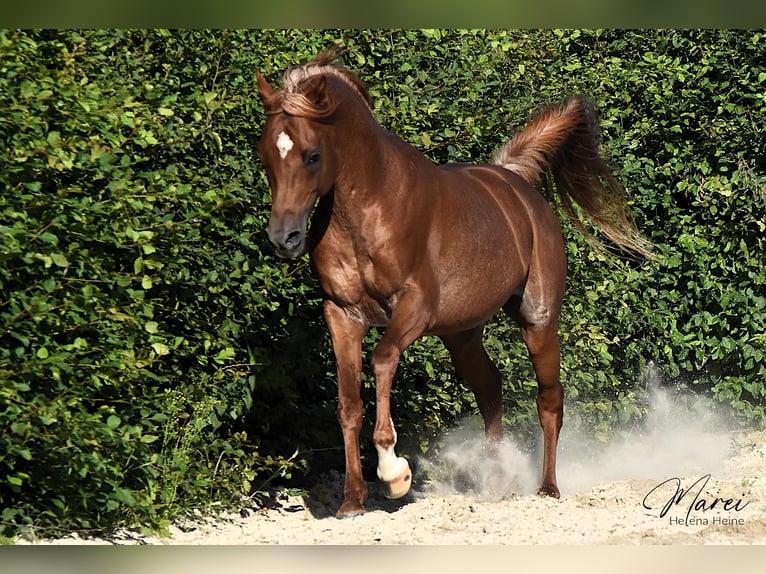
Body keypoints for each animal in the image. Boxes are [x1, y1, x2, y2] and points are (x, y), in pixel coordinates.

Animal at [256, 49, 653, 518]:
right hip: (461, 335)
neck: (368, 209)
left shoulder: (413, 308)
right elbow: (348, 404)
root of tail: (515, 183)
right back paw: (496, 481)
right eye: (266, 155)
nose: (284, 238)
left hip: (537, 320)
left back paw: (547, 488)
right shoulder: (342, 314)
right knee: (490, 388)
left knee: (549, 400)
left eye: (312, 155)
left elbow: (382, 359)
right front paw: (352, 501)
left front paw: (395, 475)